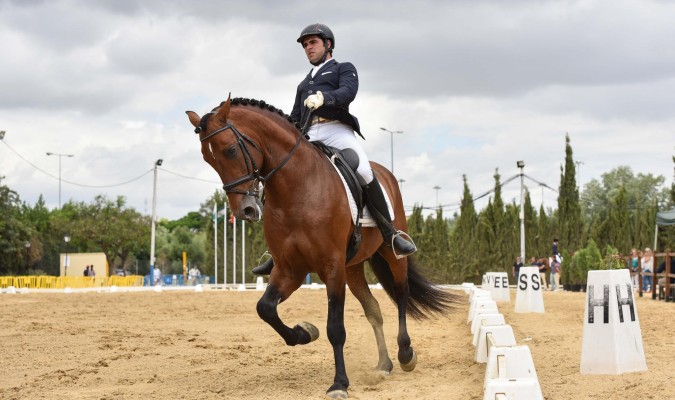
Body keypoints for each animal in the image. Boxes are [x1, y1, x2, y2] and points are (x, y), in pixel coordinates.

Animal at [185, 96, 460, 396]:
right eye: (208, 158)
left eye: (231, 149)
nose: (245, 210)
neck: (296, 189)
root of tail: (384, 172)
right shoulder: (289, 268)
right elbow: (265, 308)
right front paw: (304, 332)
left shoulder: (331, 267)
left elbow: (335, 328)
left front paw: (339, 383)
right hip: (353, 268)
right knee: (373, 309)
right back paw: (383, 365)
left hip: (391, 254)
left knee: (400, 294)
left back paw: (406, 354)